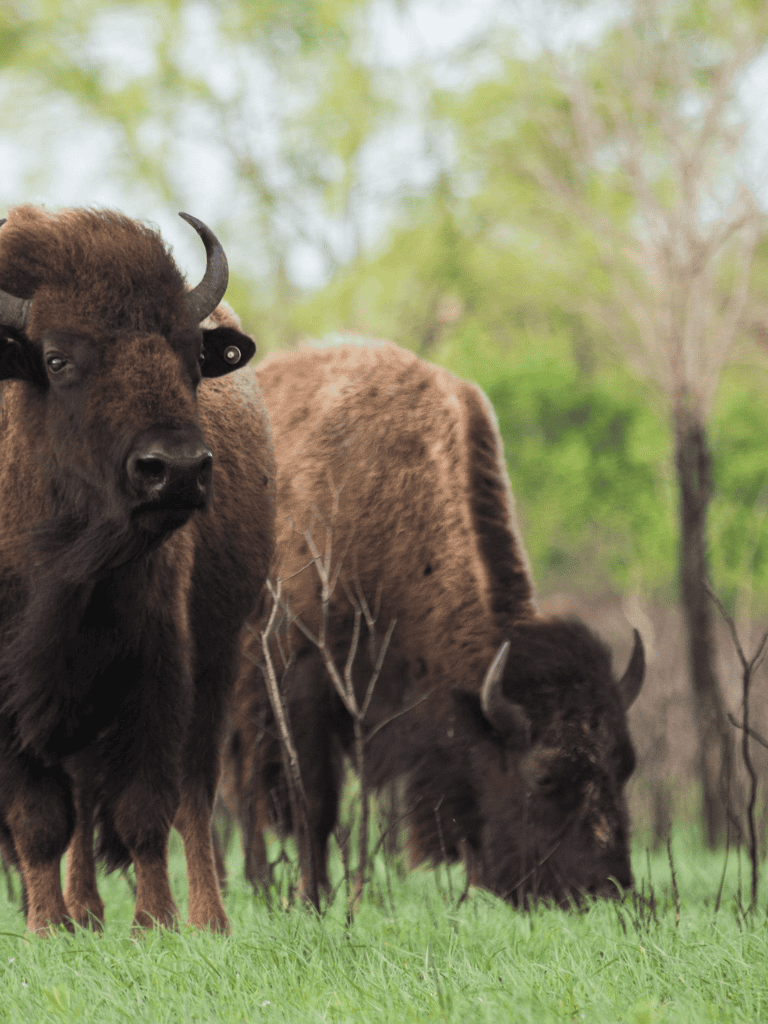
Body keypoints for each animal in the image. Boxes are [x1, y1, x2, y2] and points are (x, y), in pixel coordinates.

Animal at [0, 205, 275, 932]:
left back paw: (207, 917)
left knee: (195, 794)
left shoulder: (158, 664)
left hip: (217, 662)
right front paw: (48, 926)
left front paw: (156, 922)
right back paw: (85, 910)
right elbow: (39, 816)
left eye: (188, 358)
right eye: (57, 358)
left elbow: (147, 806)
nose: (176, 469)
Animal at [223, 340, 644, 907]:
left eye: (627, 764)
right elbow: (314, 802)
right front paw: (314, 900)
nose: (609, 888)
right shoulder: (304, 679)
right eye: (545, 776)